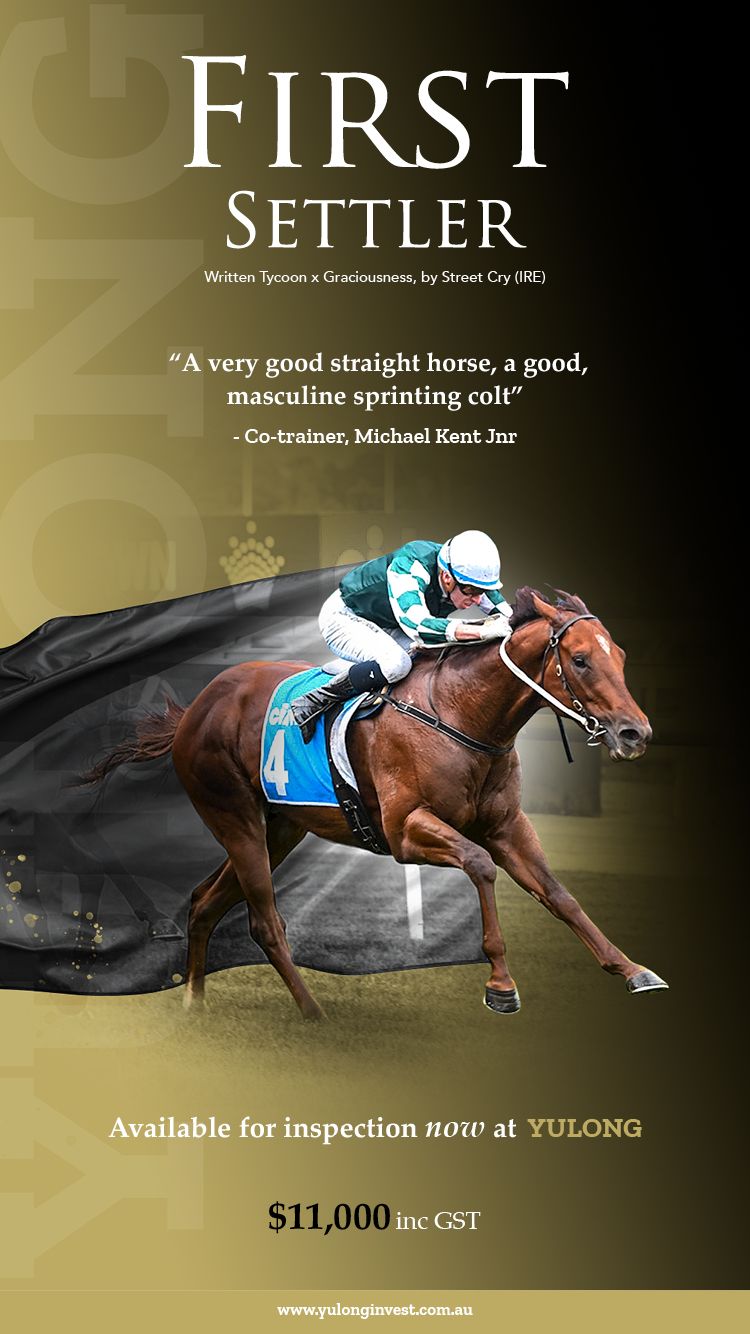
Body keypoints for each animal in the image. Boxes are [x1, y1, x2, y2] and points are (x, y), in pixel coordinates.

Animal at [81, 587, 667, 1019]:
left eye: (619, 655)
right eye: (581, 660)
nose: (635, 733)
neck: (461, 715)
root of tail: (196, 708)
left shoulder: (507, 826)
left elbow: (560, 895)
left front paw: (632, 969)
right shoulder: (405, 829)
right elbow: (479, 864)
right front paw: (500, 984)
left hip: (281, 827)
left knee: (205, 900)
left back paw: (194, 1006)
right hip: (235, 817)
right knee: (265, 922)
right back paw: (314, 1015)